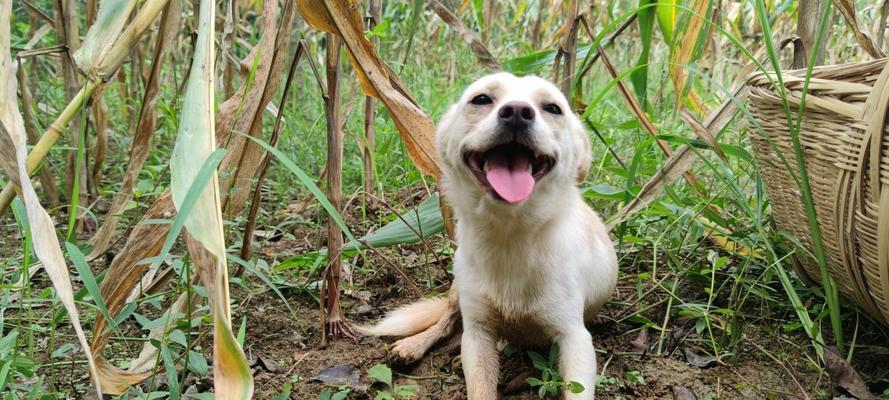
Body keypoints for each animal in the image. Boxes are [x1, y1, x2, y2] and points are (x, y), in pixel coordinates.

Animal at [358, 72, 612, 400]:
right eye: (481, 99)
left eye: (552, 108)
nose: (517, 111)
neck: (509, 234)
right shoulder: (477, 332)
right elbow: (478, 381)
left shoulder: (574, 337)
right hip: (458, 291)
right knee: (446, 323)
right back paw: (413, 346)